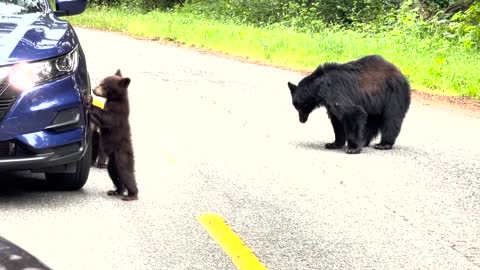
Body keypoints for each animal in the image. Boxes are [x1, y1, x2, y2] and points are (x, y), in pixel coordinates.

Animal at [88, 69, 139, 200]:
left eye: (105, 86)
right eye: (100, 82)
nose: (94, 90)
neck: (116, 100)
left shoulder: (118, 112)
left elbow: (107, 118)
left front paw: (89, 102)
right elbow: (99, 122)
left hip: (122, 155)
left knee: (126, 173)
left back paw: (132, 195)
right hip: (112, 164)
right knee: (115, 175)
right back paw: (116, 191)